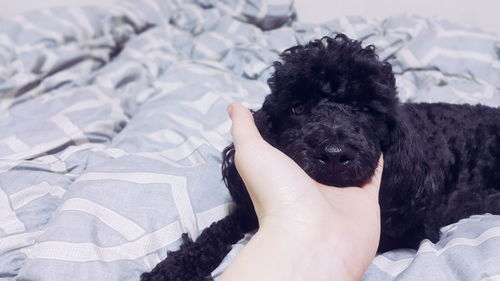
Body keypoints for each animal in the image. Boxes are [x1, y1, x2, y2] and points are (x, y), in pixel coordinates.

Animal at [140, 34, 500, 278]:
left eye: (364, 109)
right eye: (297, 108)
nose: (334, 155)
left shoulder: (412, 228)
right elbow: (221, 227)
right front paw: (174, 267)